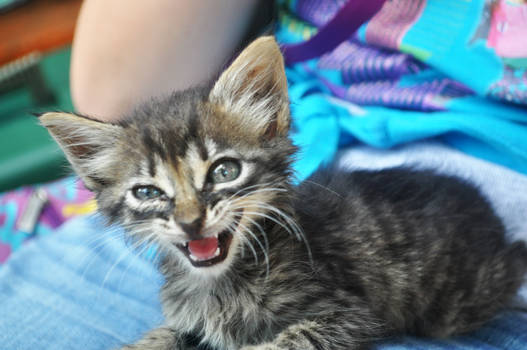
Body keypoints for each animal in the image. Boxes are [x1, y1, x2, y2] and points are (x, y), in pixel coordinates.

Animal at [40, 36, 527, 350]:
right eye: (147, 192)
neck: (222, 280)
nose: (190, 222)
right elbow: (163, 335)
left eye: (224, 171)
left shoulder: (346, 315)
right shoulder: (186, 318)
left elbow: (281, 343)